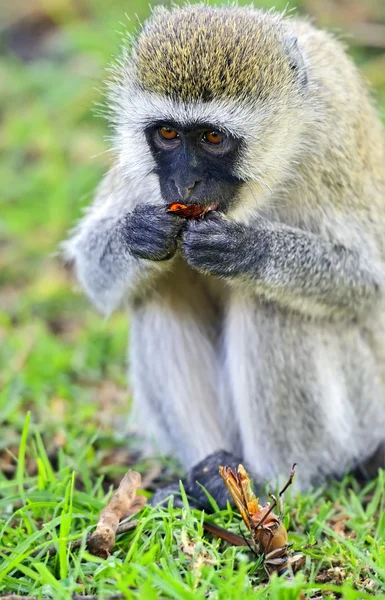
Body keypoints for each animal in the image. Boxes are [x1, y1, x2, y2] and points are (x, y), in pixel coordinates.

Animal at [61, 4, 384, 508]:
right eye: (168, 133)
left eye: (213, 138)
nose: (184, 184)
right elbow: (95, 273)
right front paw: (140, 233)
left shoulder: (335, 139)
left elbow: (369, 281)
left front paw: (249, 250)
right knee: (157, 291)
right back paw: (205, 478)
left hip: (365, 411)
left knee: (273, 305)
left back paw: (270, 484)